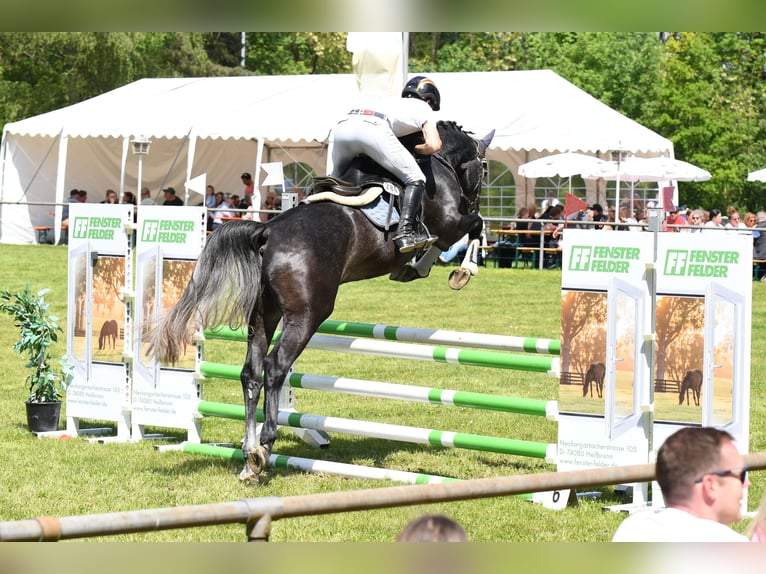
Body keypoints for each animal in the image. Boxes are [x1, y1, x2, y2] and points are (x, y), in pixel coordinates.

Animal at [154, 121, 498, 486]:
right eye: (484, 169)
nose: (474, 197)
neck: (436, 162)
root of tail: (267, 232)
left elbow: (454, 237)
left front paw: (415, 267)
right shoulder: (448, 221)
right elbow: (473, 226)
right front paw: (459, 270)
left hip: (263, 315)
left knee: (251, 373)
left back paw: (249, 457)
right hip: (308, 314)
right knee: (275, 367)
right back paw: (265, 445)